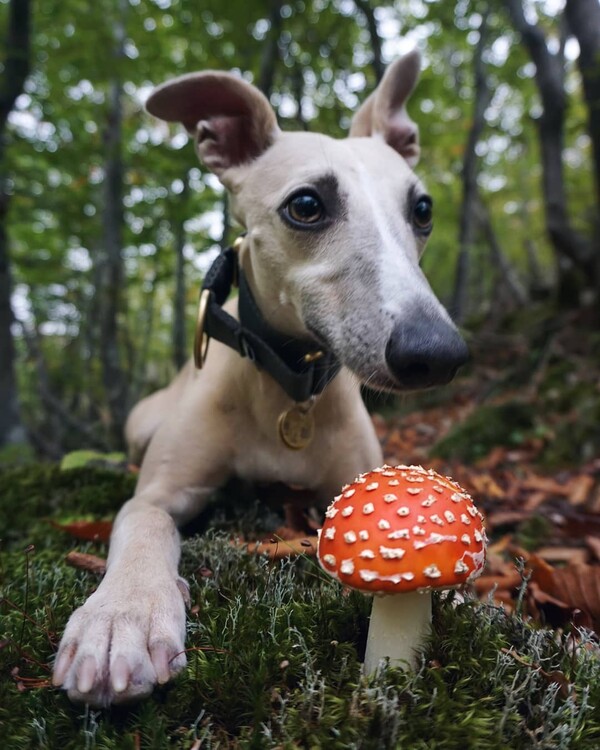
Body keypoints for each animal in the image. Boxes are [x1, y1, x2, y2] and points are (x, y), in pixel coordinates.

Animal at [51, 50, 468, 708]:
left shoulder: (350, 484)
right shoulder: (159, 493)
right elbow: (144, 520)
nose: (437, 352)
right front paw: (121, 618)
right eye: (306, 204)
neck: (286, 386)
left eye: (421, 210)